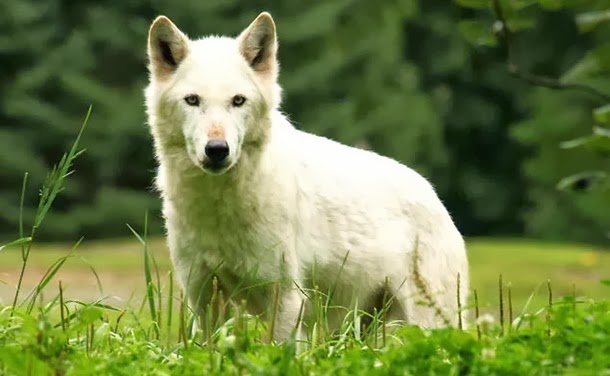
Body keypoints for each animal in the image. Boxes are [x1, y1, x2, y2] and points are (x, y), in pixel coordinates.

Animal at [145, 11, 468, 342]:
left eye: (238, 100)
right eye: (192, 100)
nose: (217, 150)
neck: (218, 205)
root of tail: (436, 198)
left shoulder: (286, 298)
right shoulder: (202, 296)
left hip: (424, 323)